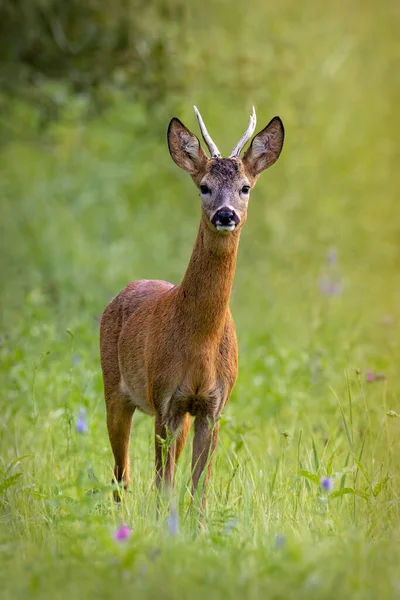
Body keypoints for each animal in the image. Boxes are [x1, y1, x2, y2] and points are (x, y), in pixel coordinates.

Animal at [100, 104, 284, 506]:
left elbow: (199, 486)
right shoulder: (165, 399)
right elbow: (164, 484)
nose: (226, 215)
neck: (200, 345)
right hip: (115, 388)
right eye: (204, 186)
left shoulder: (212, 406)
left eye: (245, 187)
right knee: (122, 475)